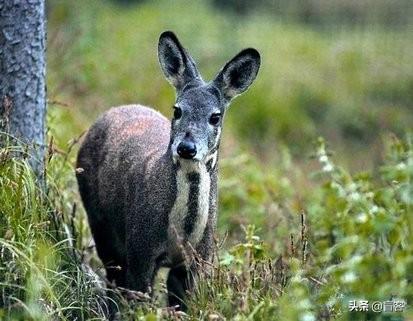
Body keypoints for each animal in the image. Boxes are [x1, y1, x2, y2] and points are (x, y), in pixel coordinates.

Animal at [75, 31, 260, 308]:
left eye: (215, 117)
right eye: (177, 109)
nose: (186, 147)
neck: (181, 233)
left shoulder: (198, 260)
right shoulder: (140, 249)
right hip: (99, 221)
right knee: (113, 278)